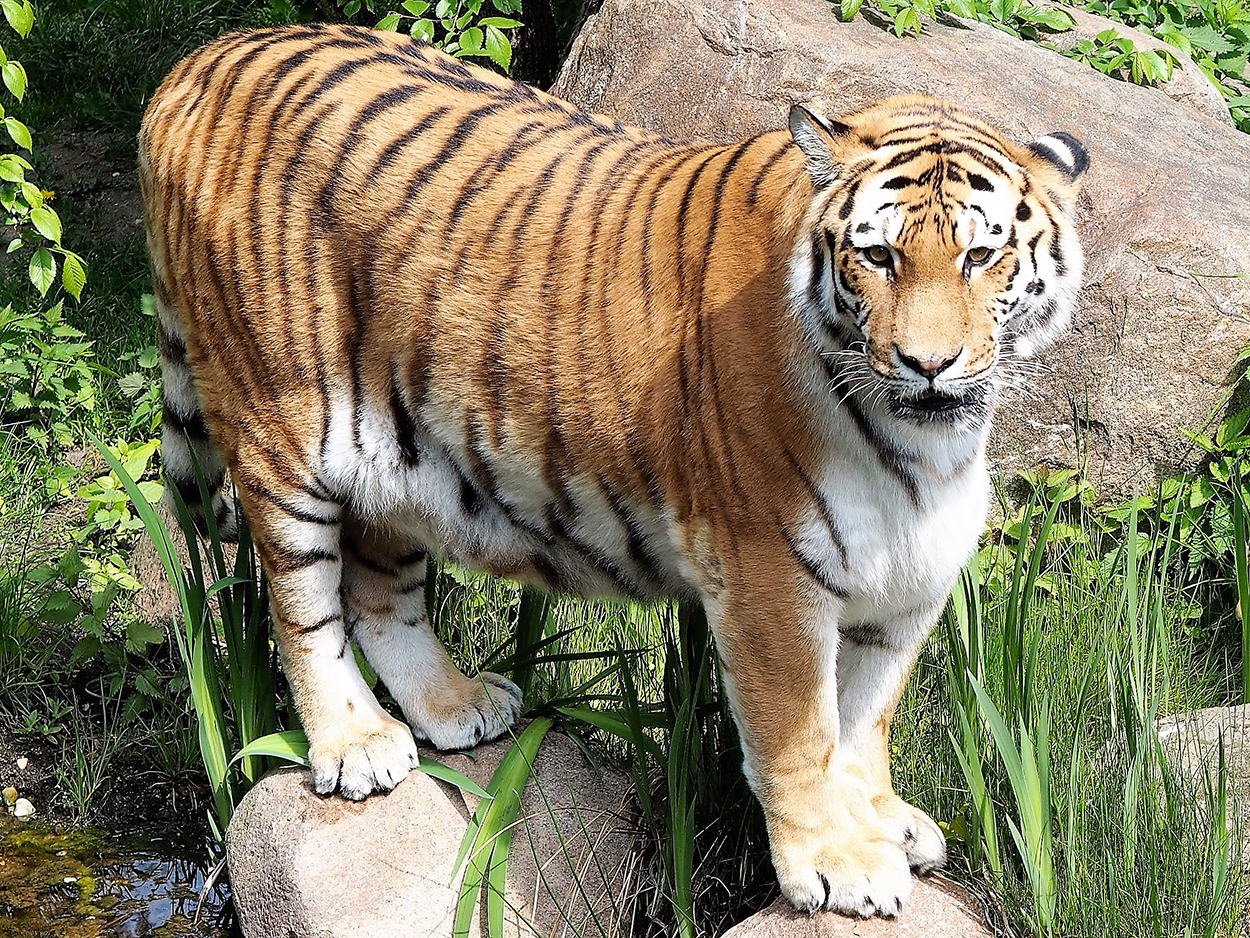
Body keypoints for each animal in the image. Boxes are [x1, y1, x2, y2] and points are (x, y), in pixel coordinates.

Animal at [139, 23, 1087, 918]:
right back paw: (354, 743)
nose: (929, 364)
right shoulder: (768, 573)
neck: (927, 448)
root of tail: (197, 62)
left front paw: (881, 819)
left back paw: (452, 705)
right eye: (879, 257)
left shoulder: (907, 585)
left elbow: (862, 723)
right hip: (281, 425)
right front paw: (839, 862)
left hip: (394, 453)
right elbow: (799, 735)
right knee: (303, 605)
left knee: (378, 589)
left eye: (979, 257)